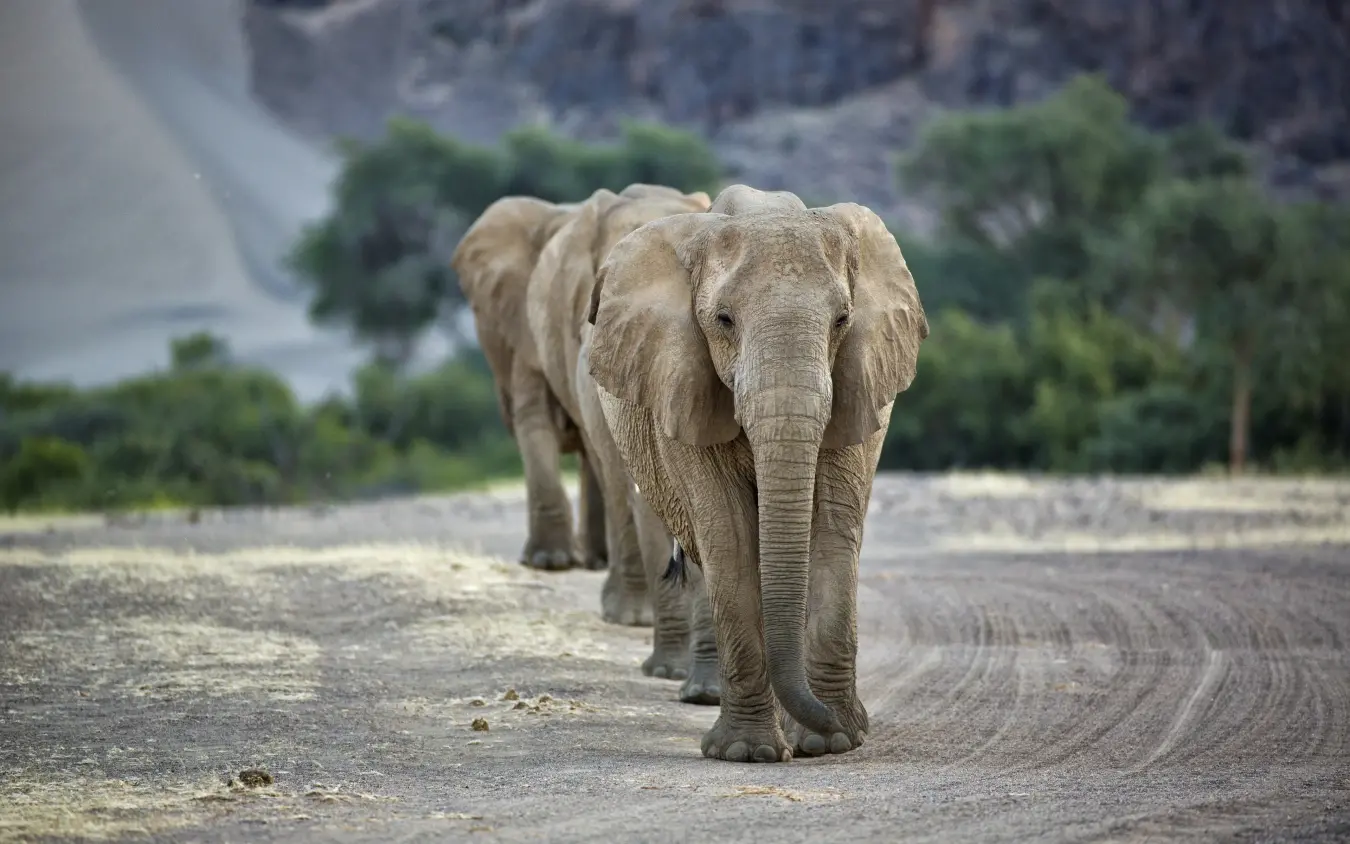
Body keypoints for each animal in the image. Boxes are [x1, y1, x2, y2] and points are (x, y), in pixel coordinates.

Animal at [584, 184, 929, 762]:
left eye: (842, 321)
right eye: (723, 321)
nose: (852, 725)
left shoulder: (856, 387)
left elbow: (831, 526)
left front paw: (831, 740)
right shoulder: (682, 384)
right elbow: (727, 533)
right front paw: (750, 753)